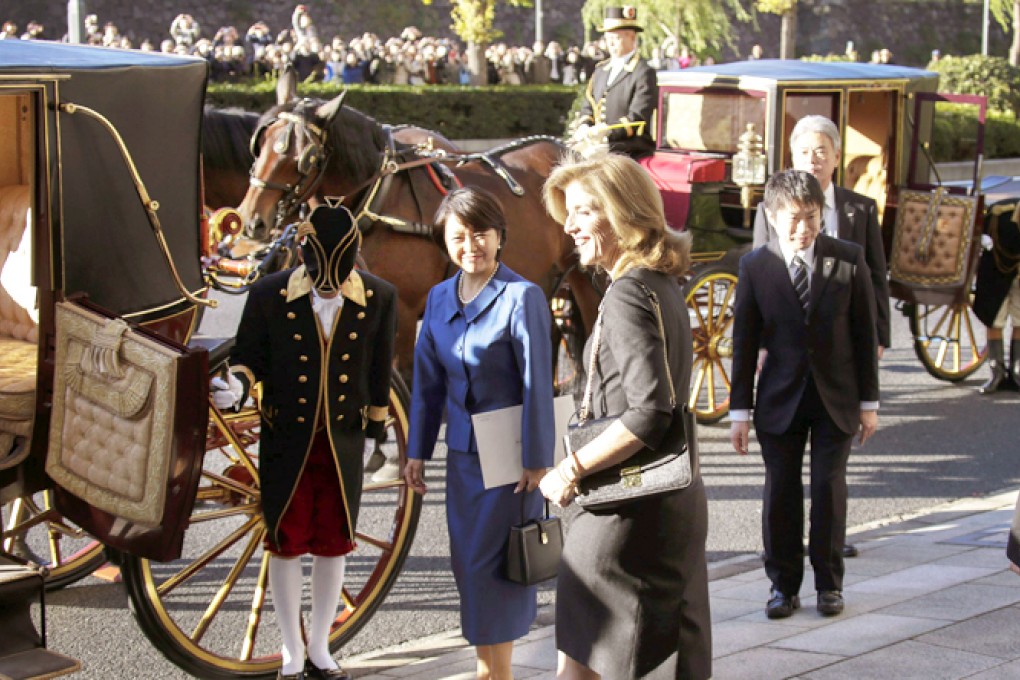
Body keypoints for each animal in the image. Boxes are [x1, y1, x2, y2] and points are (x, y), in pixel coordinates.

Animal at [234, 94, 599, 383]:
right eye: (260, 145)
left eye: (304, 156)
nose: (251, 220)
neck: (380, 196)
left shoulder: (406, 311)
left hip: (583, 276)